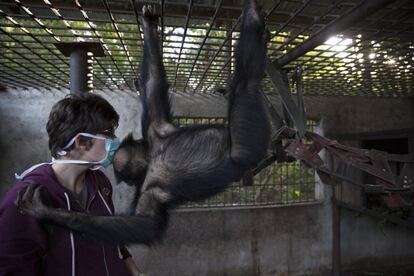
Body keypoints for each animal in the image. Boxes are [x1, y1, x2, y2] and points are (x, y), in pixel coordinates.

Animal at [15, 0, 272, 245]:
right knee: (247, 82)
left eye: (122, 174)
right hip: (248, 142)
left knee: (245, 82)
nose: (127, 181)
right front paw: (50, 212)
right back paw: (255, 19)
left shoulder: (153, 133)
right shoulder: (150, 184)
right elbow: (144, 223)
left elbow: (152, 87)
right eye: (128, 180)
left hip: (247, 135)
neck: (151, 156)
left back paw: (252, 15)